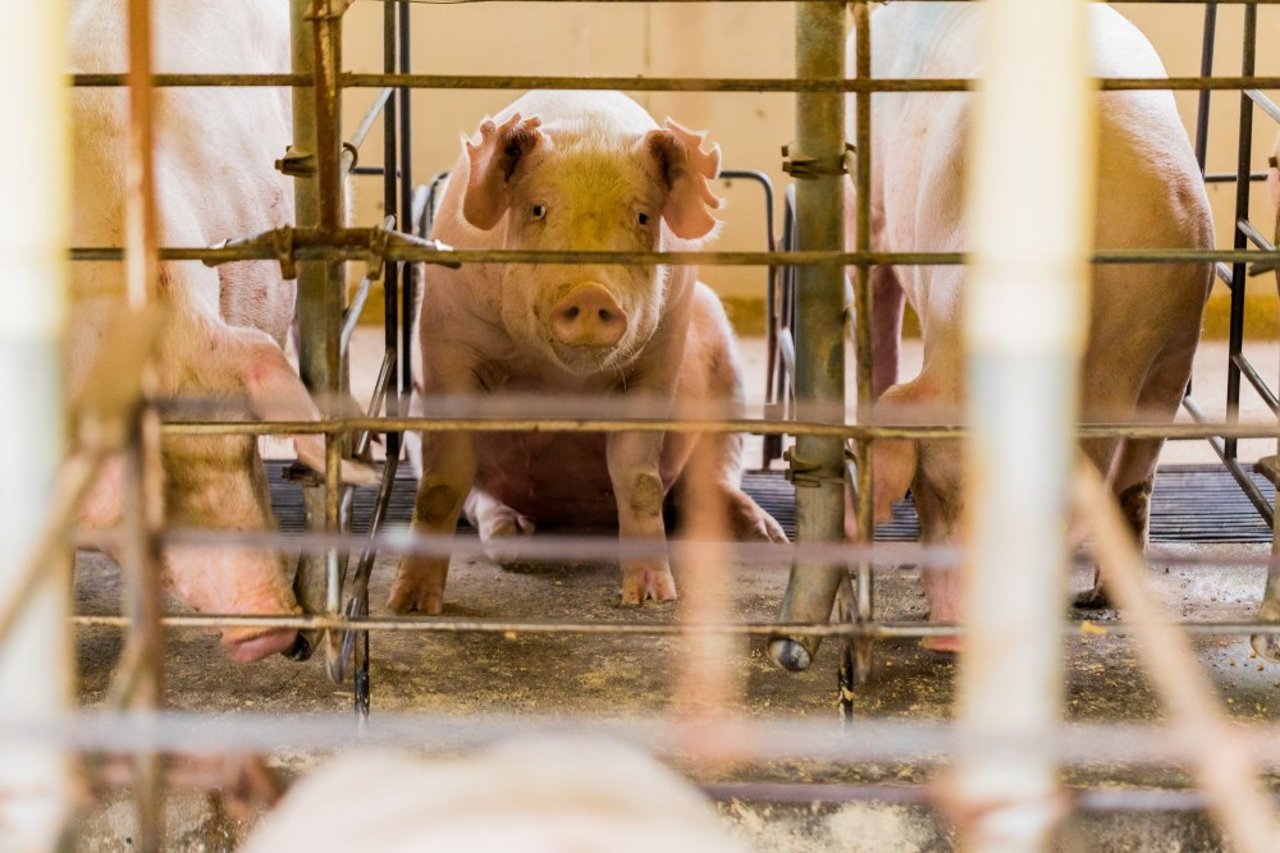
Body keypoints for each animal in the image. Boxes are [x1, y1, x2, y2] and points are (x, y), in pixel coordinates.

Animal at [386, 91, 788, 612]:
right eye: (538, 210)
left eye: (642, 216)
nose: (592, 291)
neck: (559, 379)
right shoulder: (446, 345)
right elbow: (443, 479)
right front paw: (409, 604)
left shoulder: (659, 355)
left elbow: (639, 477)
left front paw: (652, 598)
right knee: (480, 498)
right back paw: (516, 544)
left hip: (726, 363)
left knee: (715, 468)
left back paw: (770, 540)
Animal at [844, 4, 1213, 650]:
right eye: (924, 491)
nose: (953, 636)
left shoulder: (1175, 352)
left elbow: (1135, 480)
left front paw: (1102, 599)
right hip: (868, 198)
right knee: (878, 294)